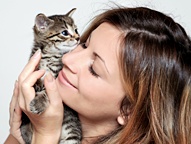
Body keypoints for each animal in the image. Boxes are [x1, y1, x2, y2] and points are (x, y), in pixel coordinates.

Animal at [21, 8, 82, 143]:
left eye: (76, 30)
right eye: (64, 32)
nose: (78, 38)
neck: (48, 55)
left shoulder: (57, 79)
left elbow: (47, 92)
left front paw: (39, 103)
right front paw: (37, 84)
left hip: (72, 135)